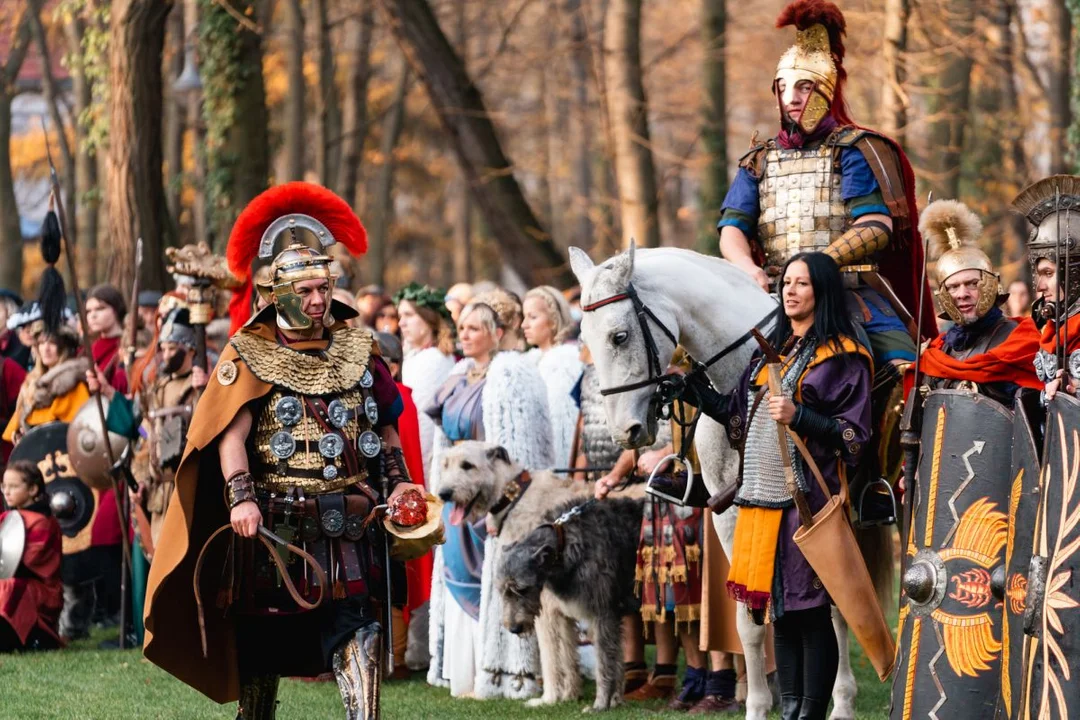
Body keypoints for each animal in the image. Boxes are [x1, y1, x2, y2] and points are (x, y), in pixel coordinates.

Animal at [574, 245, 859, 716]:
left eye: (620, 336)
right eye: (586, 339)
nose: (625, 433)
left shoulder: (827, 510)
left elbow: (829, 601)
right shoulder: (732, 517)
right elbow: (751, 621)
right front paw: (759, 707)